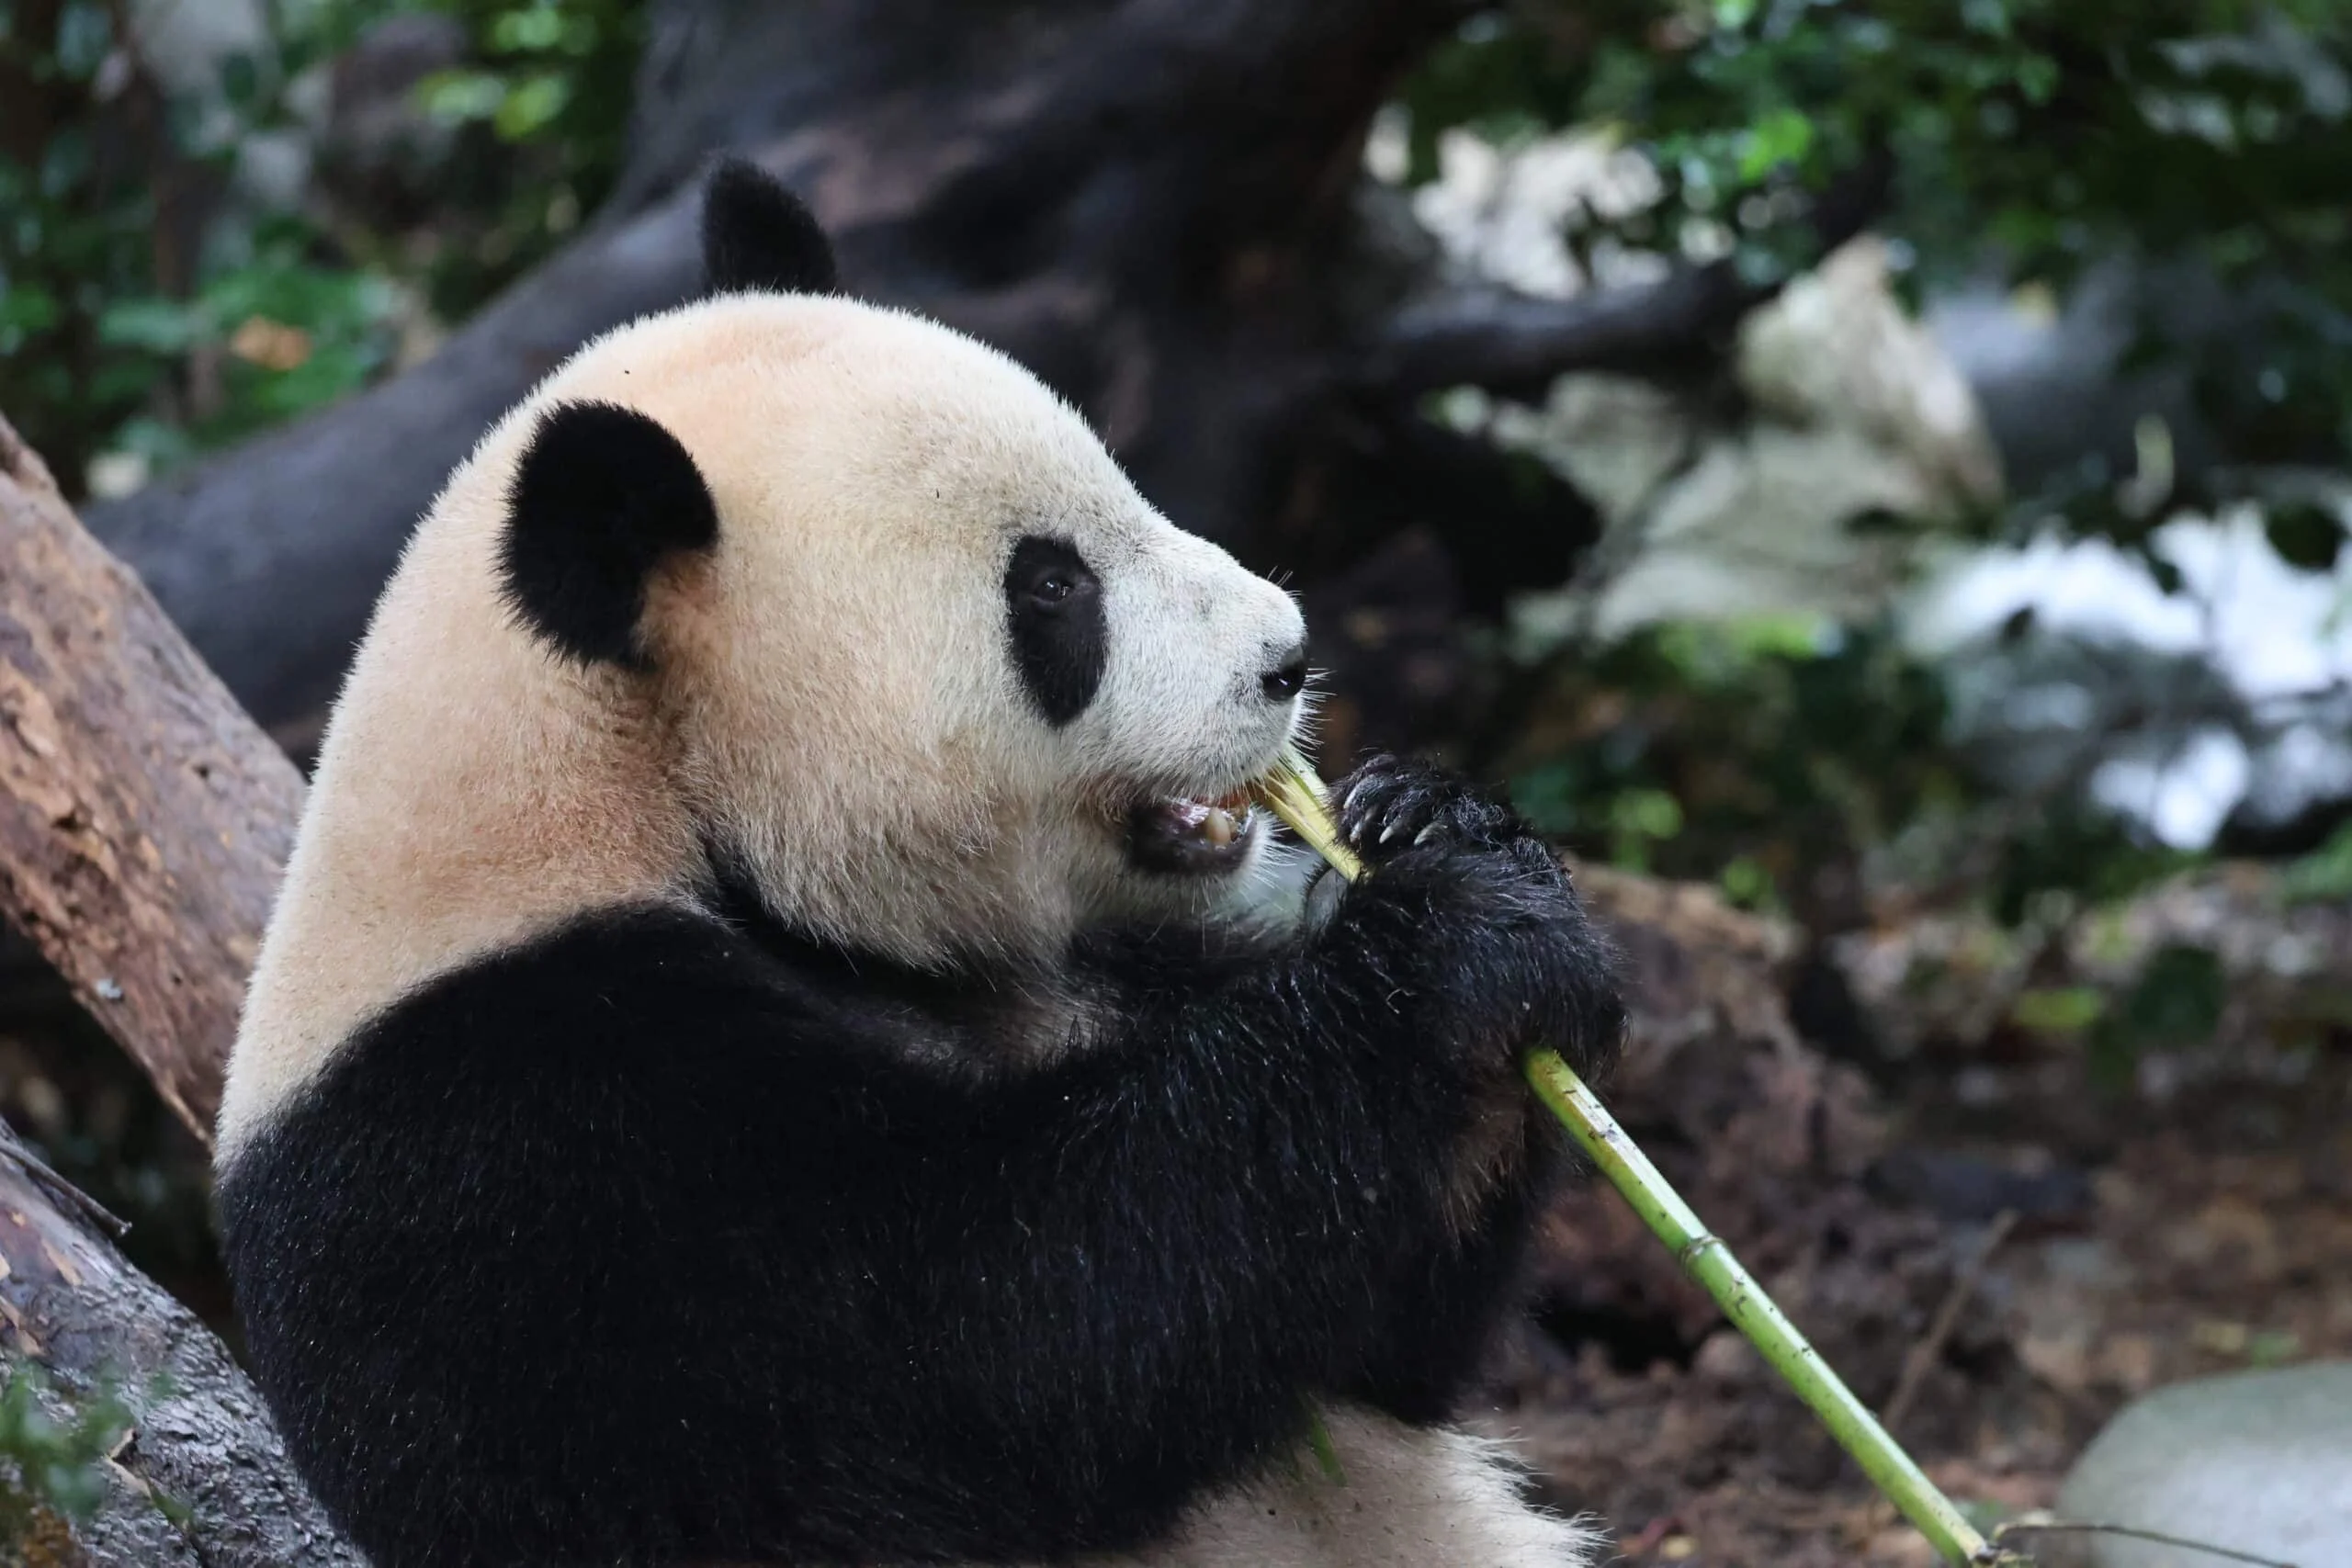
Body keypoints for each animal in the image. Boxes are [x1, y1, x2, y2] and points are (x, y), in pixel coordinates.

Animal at [213, 159, 1625, 1568]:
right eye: (1053, 589)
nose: (1286, 656)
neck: (626, 796)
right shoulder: (524, 1144)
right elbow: (998, 1344)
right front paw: (1446, 948)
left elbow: (1393, 1350)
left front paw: (1439, 830)